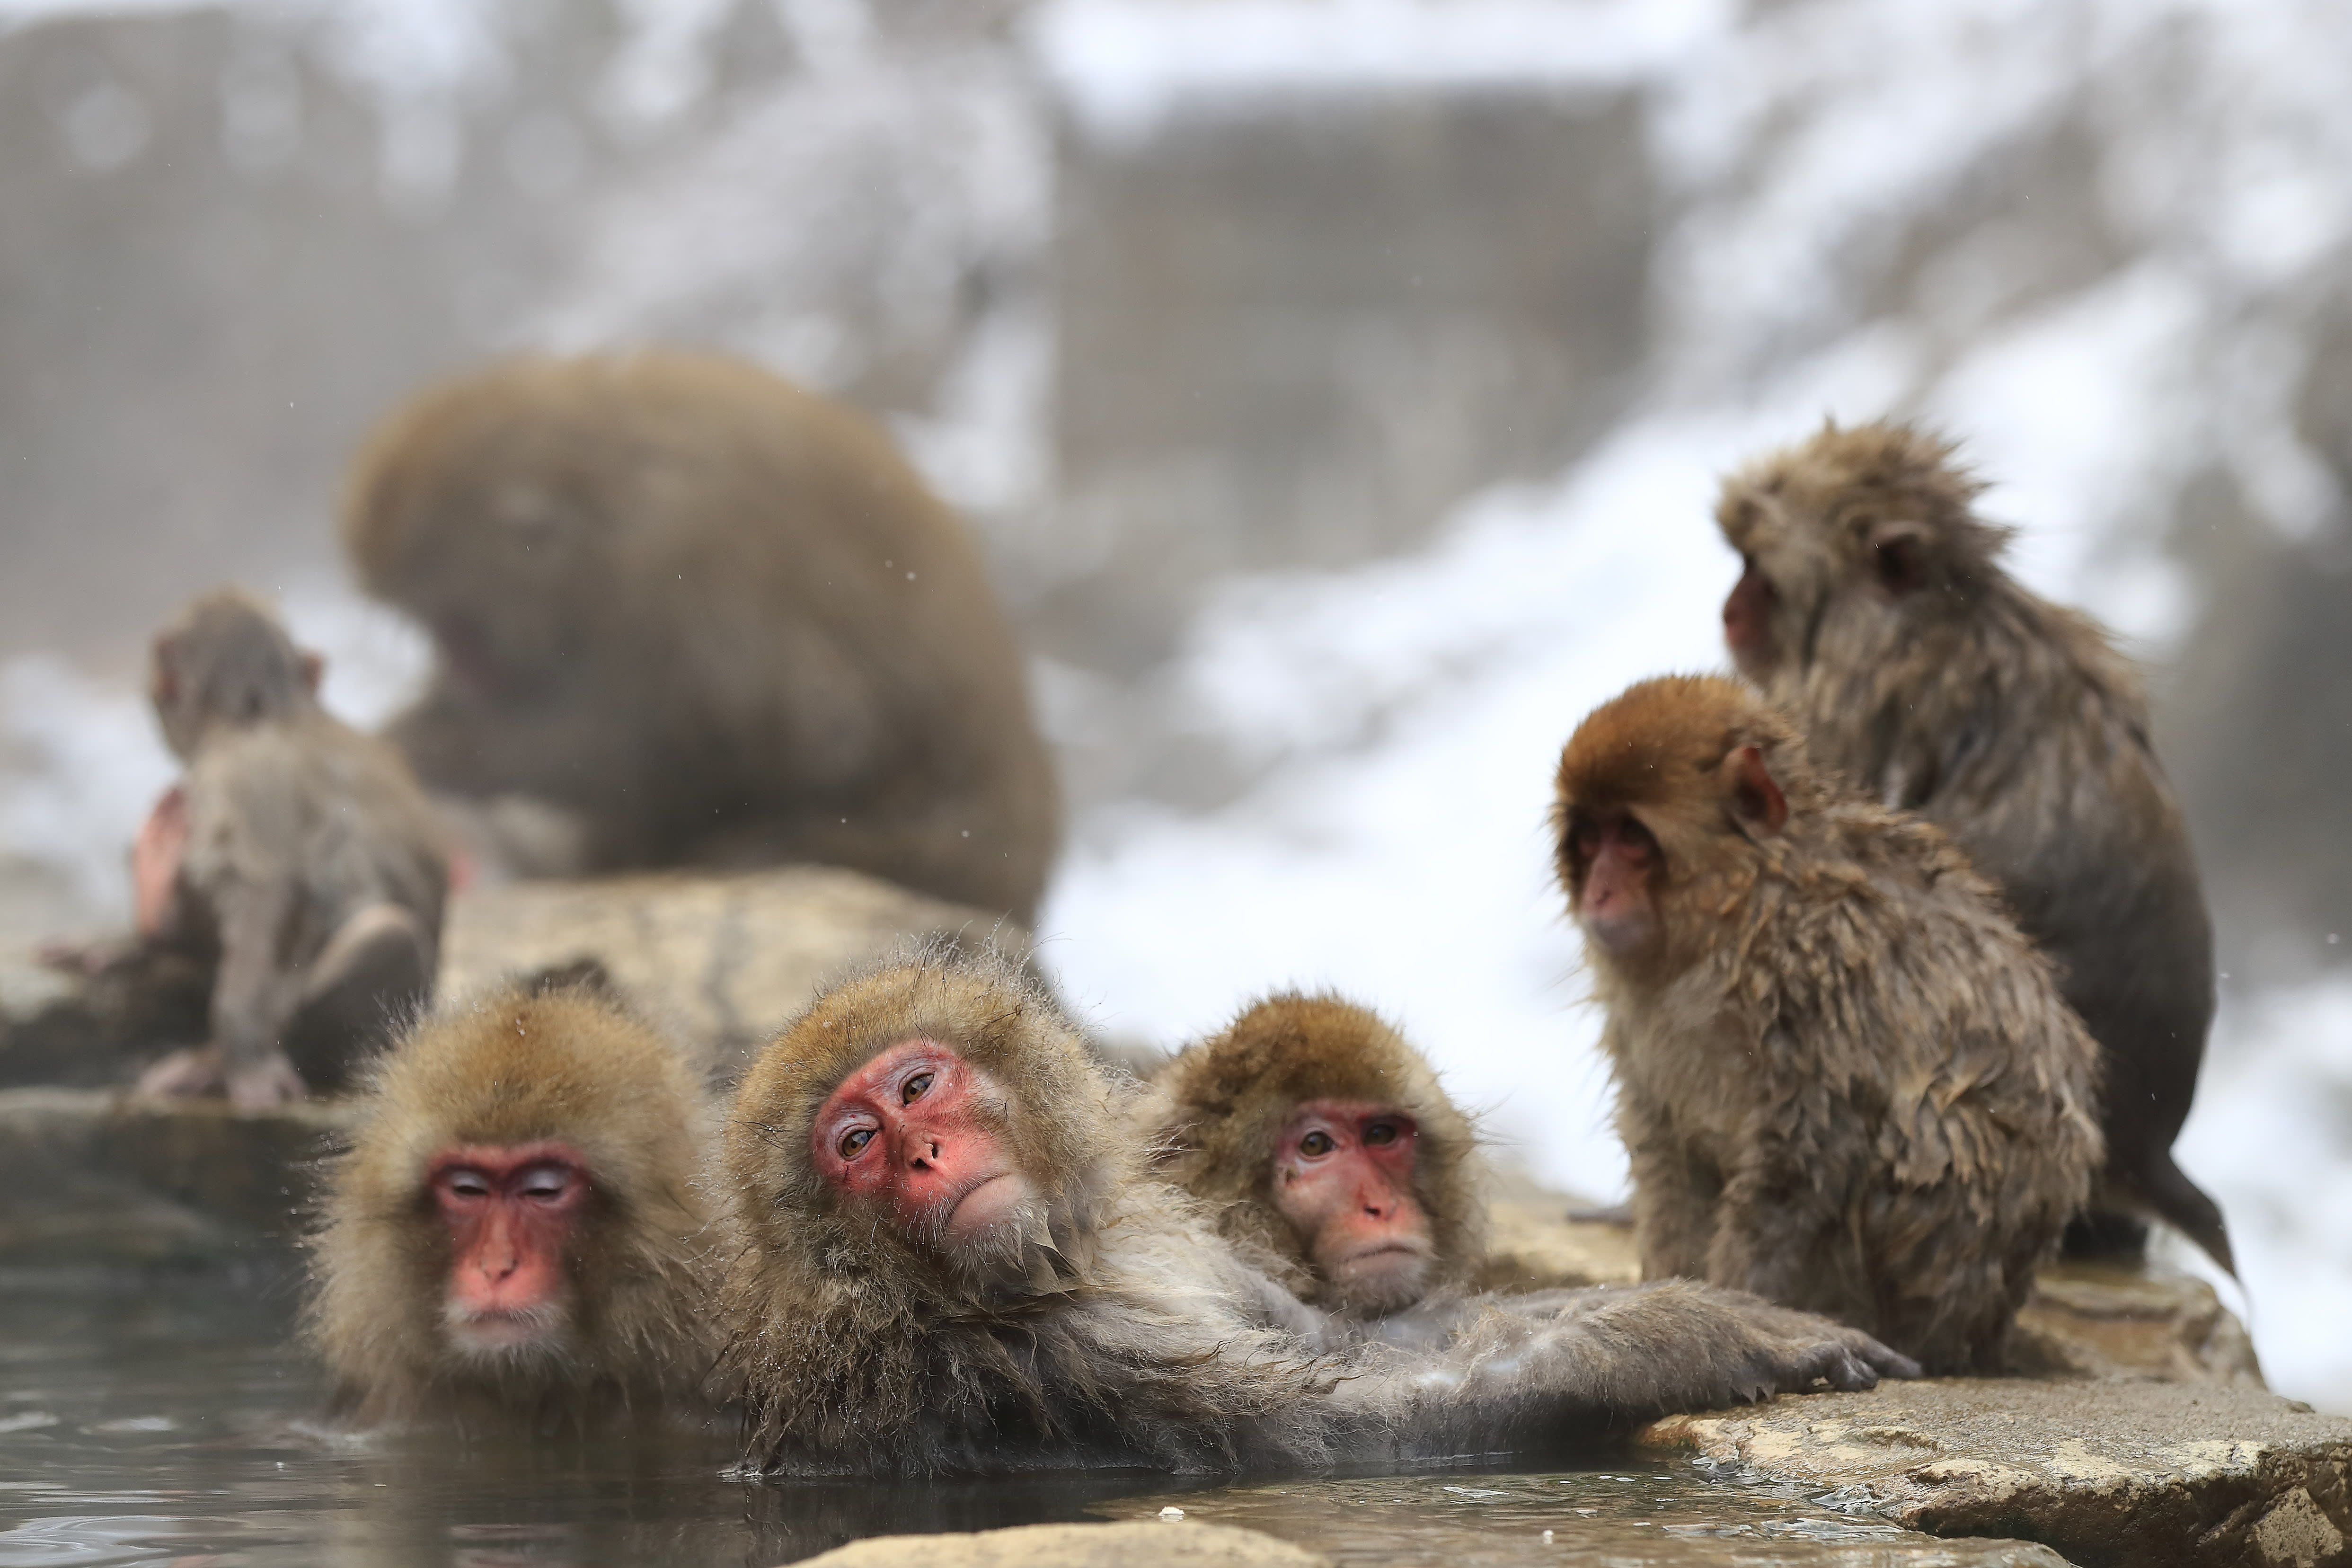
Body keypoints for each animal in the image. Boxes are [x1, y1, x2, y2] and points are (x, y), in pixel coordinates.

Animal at [338, 350, 1058, 926]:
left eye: (457, 626)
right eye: (439, 631)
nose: (457, 675)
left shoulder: (690, 576)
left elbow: (778, 734)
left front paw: (445, 748)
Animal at [1552, 677, 2107, 1373]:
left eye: (1629, 835)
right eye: (1589, 837)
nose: (1598, 893)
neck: (1742, 913)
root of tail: (1990, 1326)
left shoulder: (1817, 976)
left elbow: (1803, 1156)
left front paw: (1739, 1305)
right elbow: (1666, 1146)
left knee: (1928, 1126)